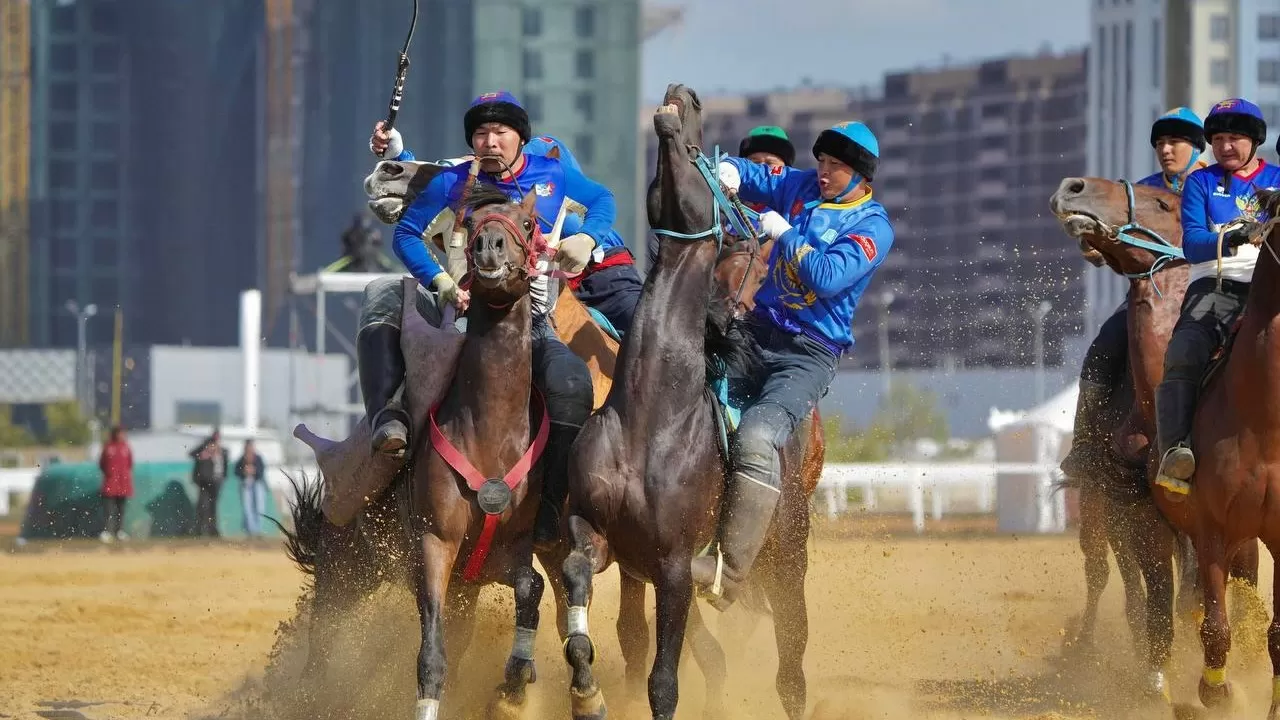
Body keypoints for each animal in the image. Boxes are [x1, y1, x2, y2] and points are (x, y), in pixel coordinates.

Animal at [558, 85, 808, 717]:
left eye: (700, 158)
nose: (684, 95)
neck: (651, 418)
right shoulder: (597, 534)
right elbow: (577, 594)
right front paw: (587, 693)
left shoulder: (674, 568)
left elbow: (663, 681)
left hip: (787, 560)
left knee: (791, 665)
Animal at [1049, 174, 1259, 696]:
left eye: (1165, 204)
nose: (1073, 187)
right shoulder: (1134, 507)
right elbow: (1154, 600)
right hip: (1096, 503)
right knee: (1101, 573)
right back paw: (1084, 650)